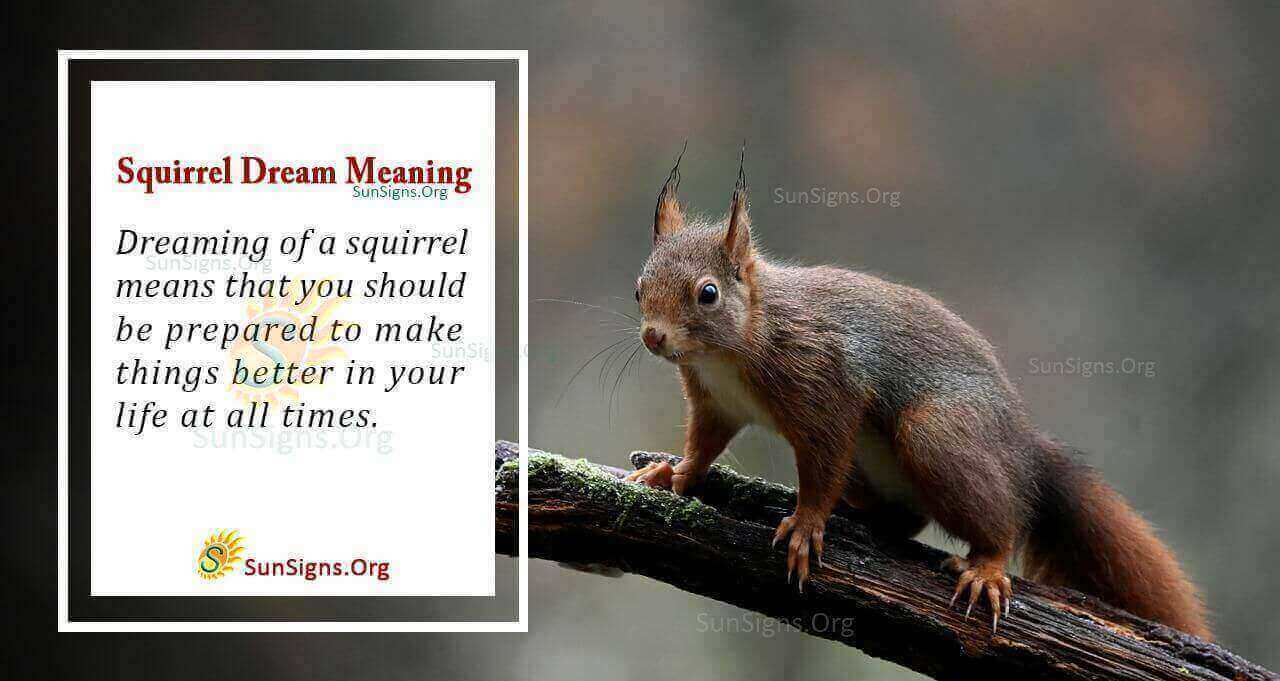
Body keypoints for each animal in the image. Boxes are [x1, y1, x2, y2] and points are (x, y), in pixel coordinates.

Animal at [623, 147, 1210, 638]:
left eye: (708, 294)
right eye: (638, 287)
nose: (654, 336)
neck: (732, 349)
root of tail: (1022, 449)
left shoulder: (825, 383)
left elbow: (822, 462)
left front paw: (807, 524)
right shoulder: (715, 403)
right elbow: (704, 445)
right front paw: (672, 473)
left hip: (938, 435)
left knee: (1001, 518)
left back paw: (986, 566)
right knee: (907, 517)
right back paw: (862, 512)